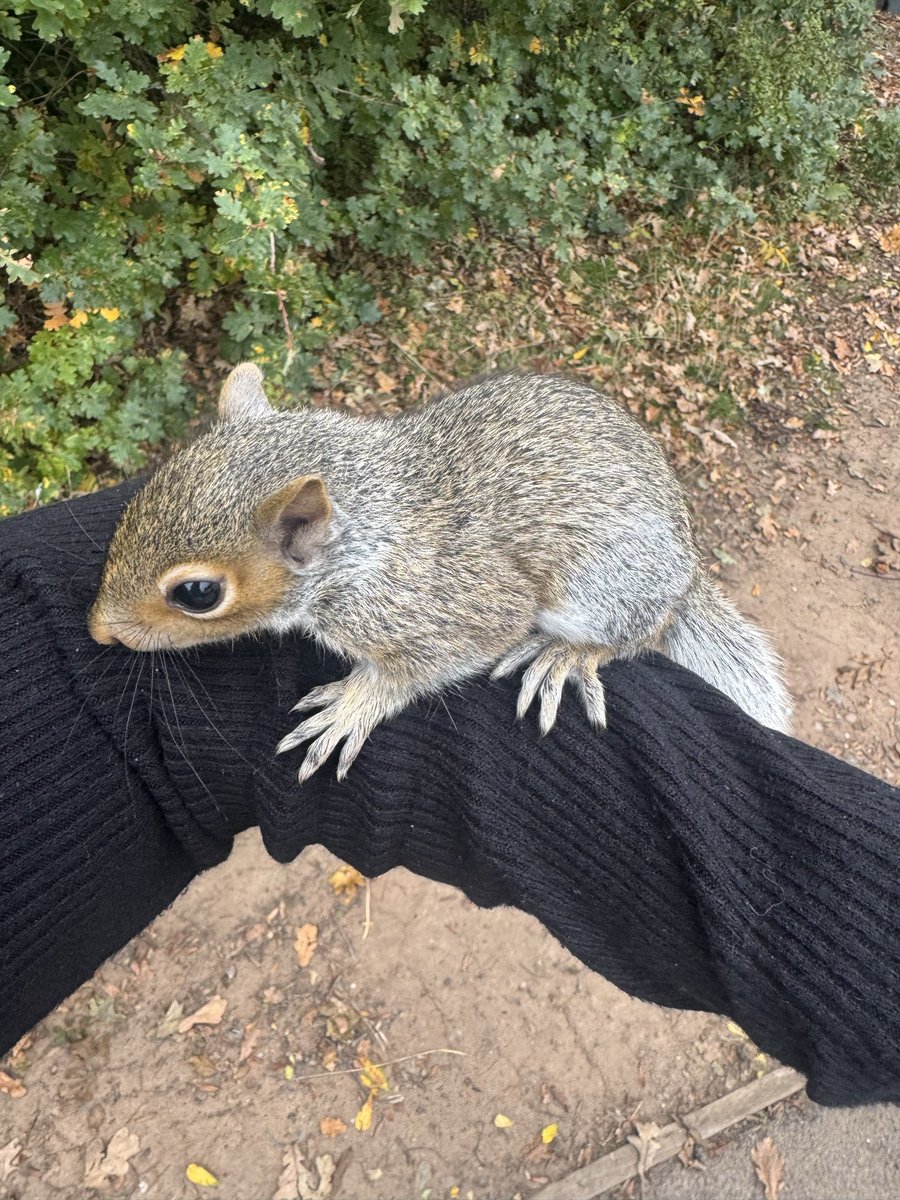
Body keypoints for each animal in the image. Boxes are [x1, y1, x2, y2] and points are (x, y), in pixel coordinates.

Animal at [89, 364, 792, 782]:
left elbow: (430, 664)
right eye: (139, 498)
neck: (362, 544)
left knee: (638, 632)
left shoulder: (453, 604)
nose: (98, 631)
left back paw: (567, 654)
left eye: (198, 593)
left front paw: (354, 705)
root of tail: (687, 566)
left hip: (604, 587)